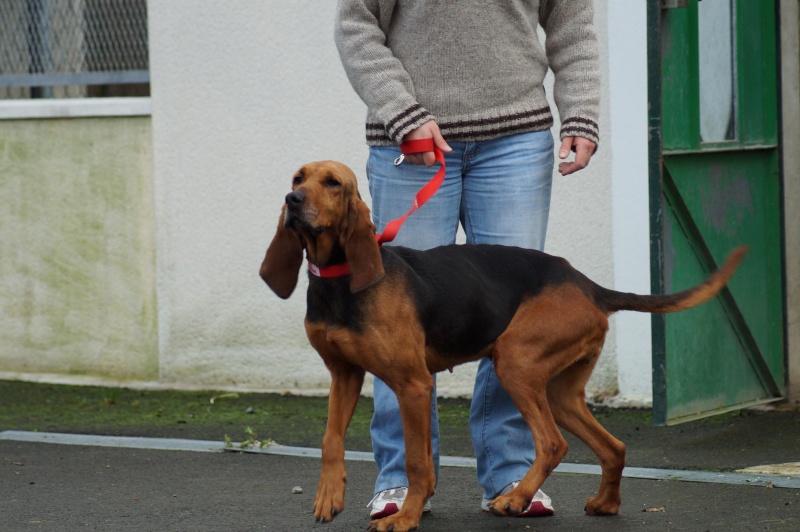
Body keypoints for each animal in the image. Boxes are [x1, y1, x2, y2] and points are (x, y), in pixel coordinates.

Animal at [260, 159, 748, 532]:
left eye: (333, 183)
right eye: (298, 178)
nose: (292, 201)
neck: (338, 280)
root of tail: (589, 285)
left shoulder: (413, 385)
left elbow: (419, 462)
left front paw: (406, 517)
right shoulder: (343, 374)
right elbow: (330, 439)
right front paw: (329, 496)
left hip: (516, 363)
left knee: (553, 444)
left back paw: (515, 499)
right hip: (558, 390)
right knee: (613, 447)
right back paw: (605, 504)